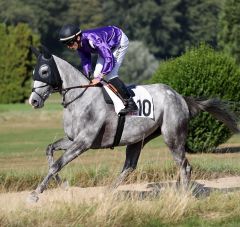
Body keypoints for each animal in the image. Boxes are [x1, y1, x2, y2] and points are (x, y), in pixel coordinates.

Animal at [27, 45, 238, 201]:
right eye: (34, 71)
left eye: (44, 71)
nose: (34, 101)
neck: (80, 97)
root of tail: (180, 97)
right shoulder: (73, 140)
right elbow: (50, 150)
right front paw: (61, 185)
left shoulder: (84, 142)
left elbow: (57, 165)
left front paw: (36, 193)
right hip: (138, 139)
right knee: (129, 166)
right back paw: (106, 193)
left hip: (173, 136)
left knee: (184, 165)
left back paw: (183, 196)